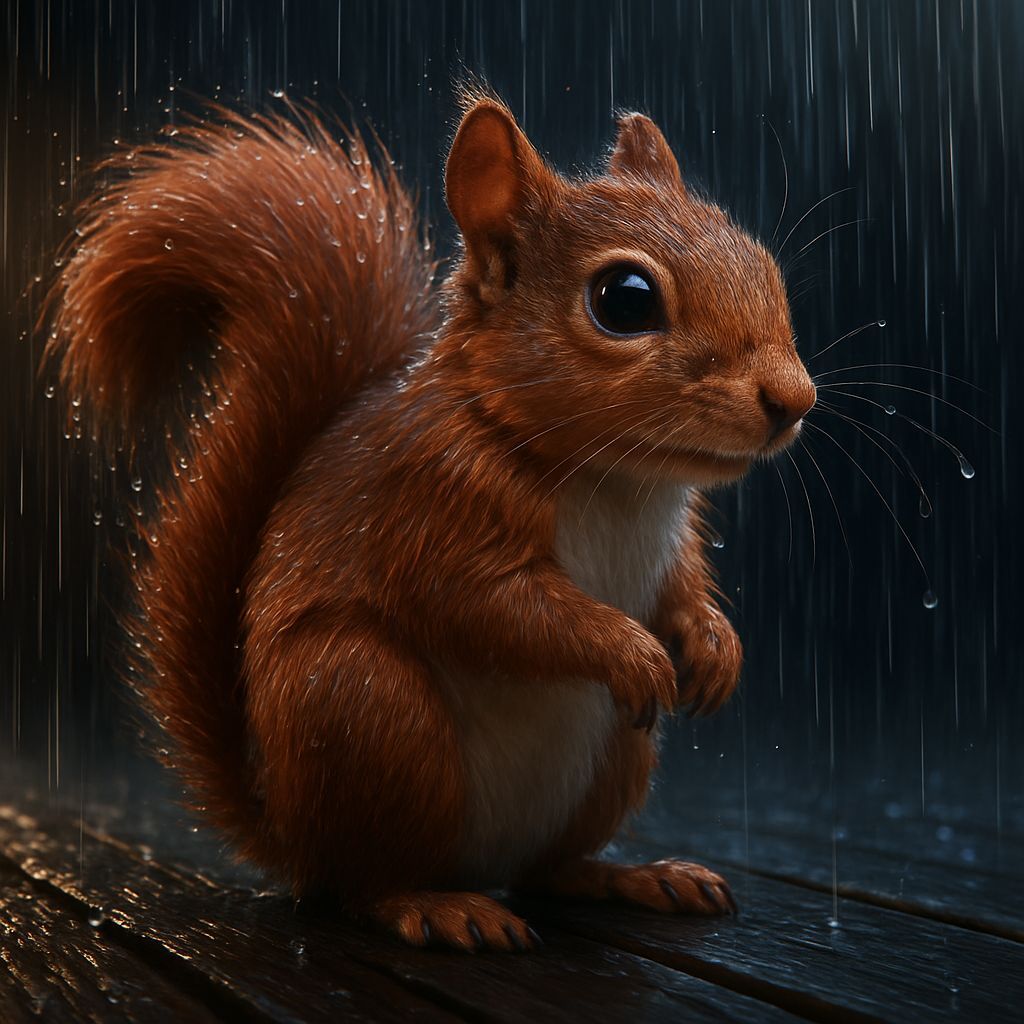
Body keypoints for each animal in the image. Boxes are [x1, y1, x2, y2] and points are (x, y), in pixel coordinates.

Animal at [47, 89, 816, 952]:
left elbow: (682, 586)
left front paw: (714, 649)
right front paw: (634, 652)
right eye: (625, 301)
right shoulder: (431, 502)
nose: (796, 399)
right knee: (364, 881)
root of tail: (286, 831)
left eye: (760, 261)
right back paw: (436, 905)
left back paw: (634, 876)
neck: (616, 478)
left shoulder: (671, 536)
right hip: (365, 703)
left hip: (616, 758)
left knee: (549, 870)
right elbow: (493, 605)